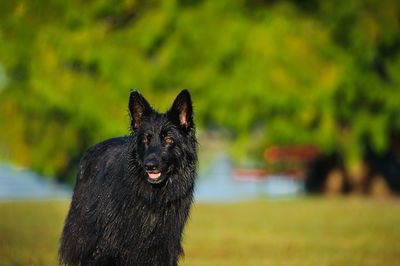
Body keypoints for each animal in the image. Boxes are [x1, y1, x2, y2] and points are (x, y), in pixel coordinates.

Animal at [59, 90, 197, 266]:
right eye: (145, 139)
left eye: (168, 139)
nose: (149, 166)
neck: (153, 199)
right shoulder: (105, 249)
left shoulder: (164, 252)